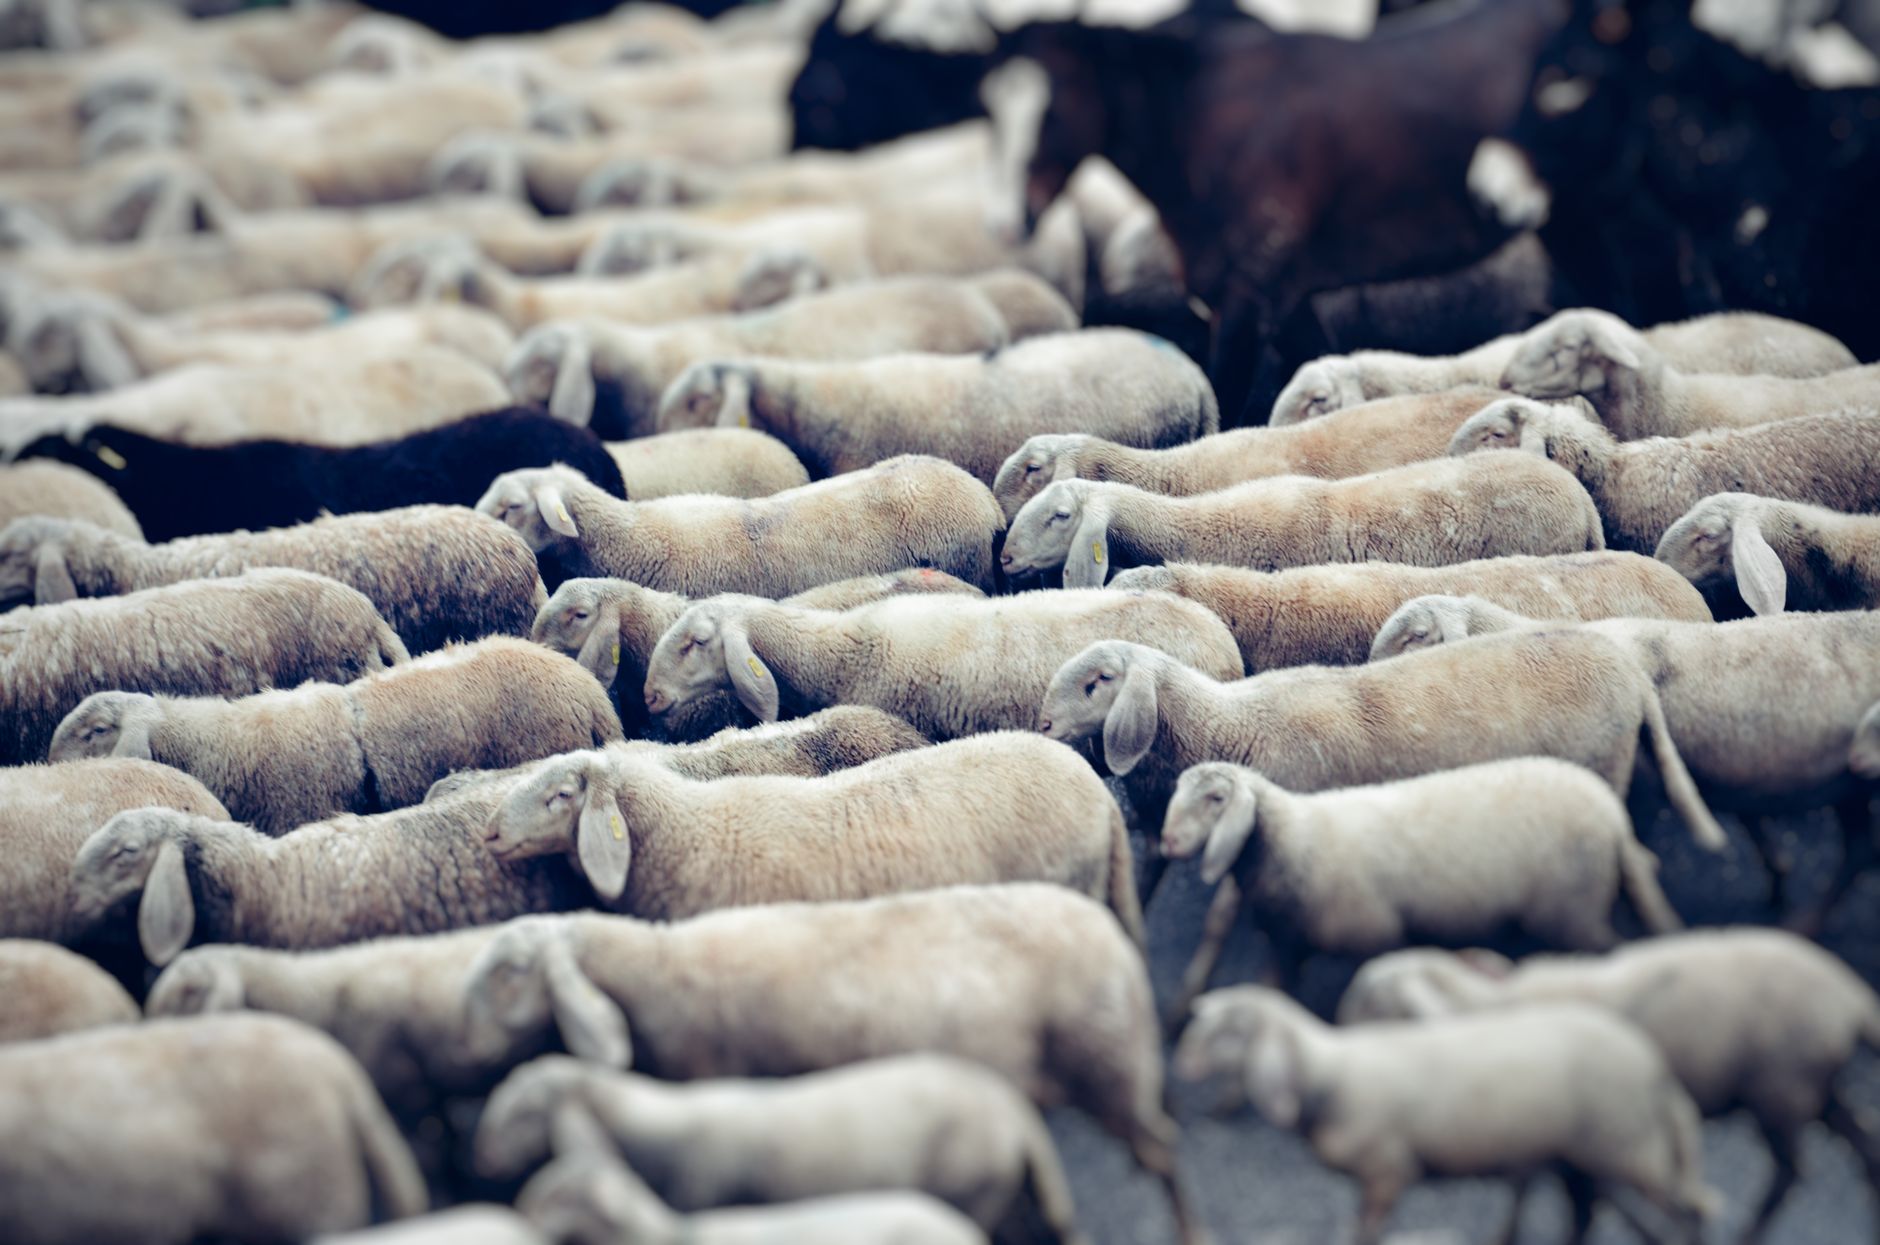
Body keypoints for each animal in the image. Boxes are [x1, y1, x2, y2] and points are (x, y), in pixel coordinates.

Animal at [1159, 759, 1681, 1015]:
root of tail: (1613, 816)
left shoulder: (1376, 935)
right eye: (1176, 793)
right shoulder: (1288, 946)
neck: (1293, 840)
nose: (1166, 841)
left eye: (1217, 798)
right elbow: (1270, 992)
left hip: (1570, 908)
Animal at [1173, 987, 1717, 1245]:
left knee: (1687, 1208)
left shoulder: (1387, 1171)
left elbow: (1365, 1233)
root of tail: (1654, 1065)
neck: (1327, 1073)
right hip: (1585, 1156)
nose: (1183, 1060)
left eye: (1229, 1032)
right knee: (1588, 1214)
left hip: (1626, 1146)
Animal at [1337, 932, 1880, 1239]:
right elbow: (1544, 1187)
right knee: (1859, 1140)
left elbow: (1546, 1187)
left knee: (1790, 1170)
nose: (1337, 1031)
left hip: (1780, 1090)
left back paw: (1748, 1231)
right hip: (1813, 1087)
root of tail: (1848, 994)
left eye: (1369, 998)